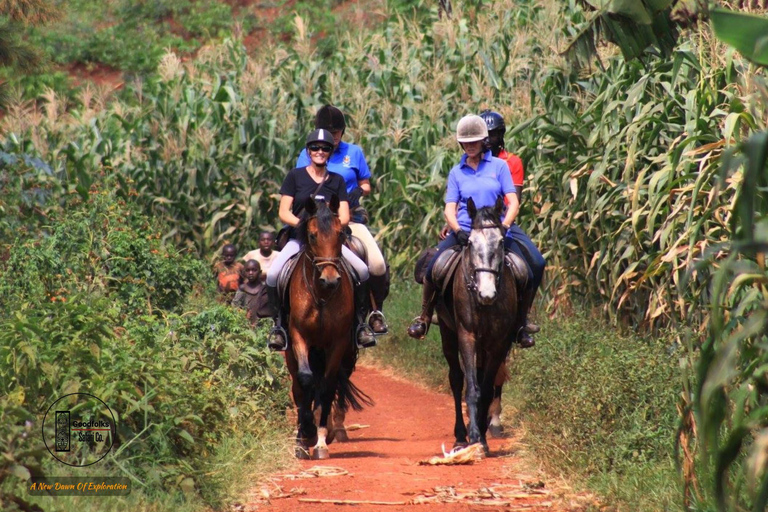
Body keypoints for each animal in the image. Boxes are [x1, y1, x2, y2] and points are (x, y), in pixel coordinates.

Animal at [288, 196, 372, 460]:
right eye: (312, 236)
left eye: (339, 234)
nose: (331, 280)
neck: (322, 295)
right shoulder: (299, 336)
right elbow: (306, 381)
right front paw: (304, 436)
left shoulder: (339, 342)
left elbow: (326, 387)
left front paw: (321, 441)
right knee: (298, 386)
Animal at [436, 197, 520, 452]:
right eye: (471, 243)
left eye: (501, 242)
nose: (486, 294)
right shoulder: (467, 335)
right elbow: (472, 388)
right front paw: (473, 436)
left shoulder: (499, 342)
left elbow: (488, 386)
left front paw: (482, 436)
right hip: (448, 333)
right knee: (456, 379)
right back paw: (460, 435)